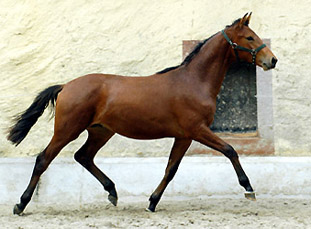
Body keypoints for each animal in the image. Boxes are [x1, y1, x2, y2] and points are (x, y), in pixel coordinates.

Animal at [8, 13, 278, 215]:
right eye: (249, 37)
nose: (272, 60)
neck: (193, 81)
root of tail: (65, 86)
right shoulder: (197, 130)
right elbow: (230, 150)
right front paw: (248, 188)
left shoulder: (184, 136)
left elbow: (171, 169)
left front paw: (152, 202)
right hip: (67, 130)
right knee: (44, 159)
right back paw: (21, 204)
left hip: (100, 132)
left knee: (83, 156)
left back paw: (112, 192)